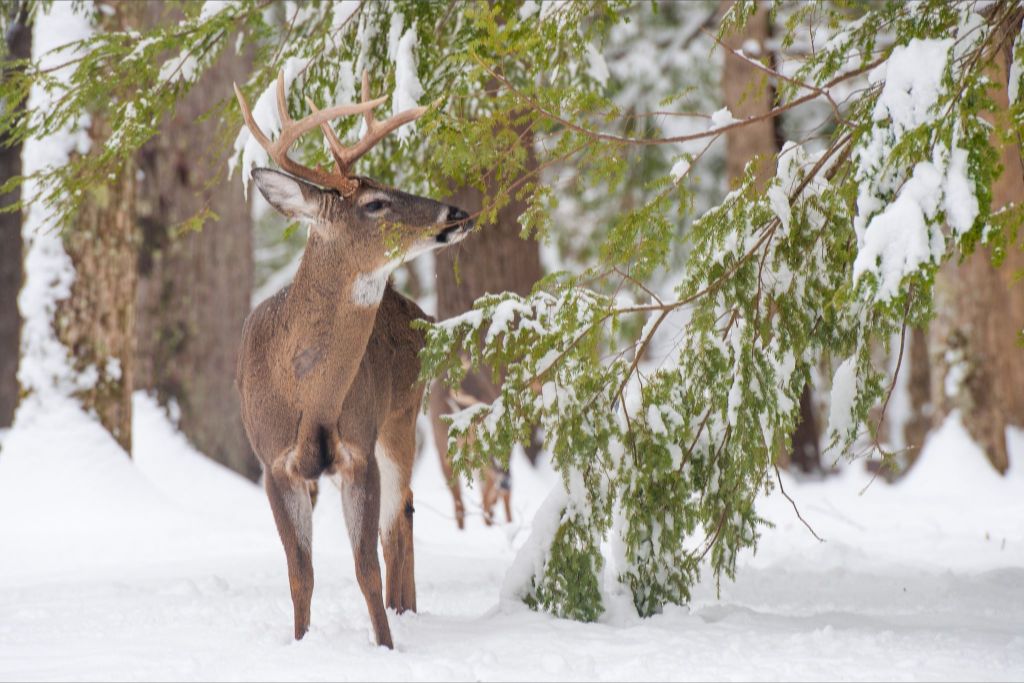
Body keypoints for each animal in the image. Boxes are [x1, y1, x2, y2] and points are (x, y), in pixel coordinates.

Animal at [232, 70, 471, 651]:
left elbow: (366, 568)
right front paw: (301, 643)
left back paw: (405, 613)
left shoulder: (359, 448)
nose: (456, 213)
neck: (308, 393)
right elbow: (300, 573)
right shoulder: (274, 462)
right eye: (376, 204)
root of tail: (419, 312)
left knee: (401, 515)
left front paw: (385, 647)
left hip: (401, 419)